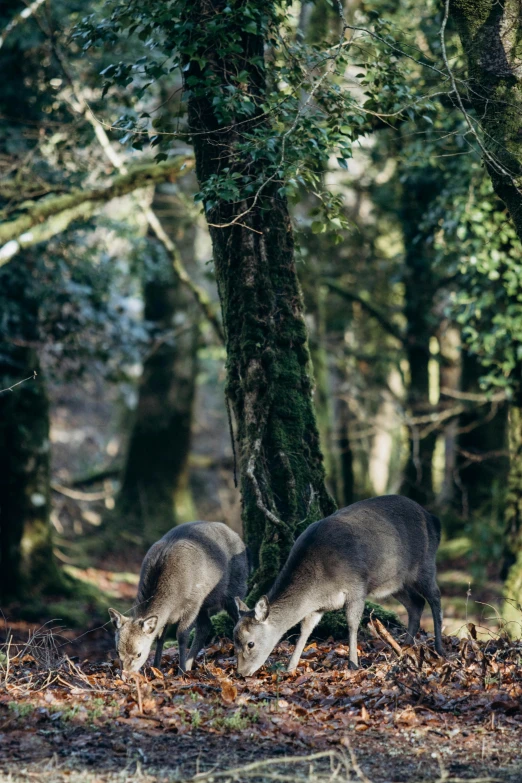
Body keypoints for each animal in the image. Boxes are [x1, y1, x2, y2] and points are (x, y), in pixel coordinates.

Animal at [107, 520, 246, 672]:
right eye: (117, 651)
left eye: (139, 654)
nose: (124, 674)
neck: (172, 600)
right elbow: (160, 636)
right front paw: (156, 667)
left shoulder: (192, 602)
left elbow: (182, 635)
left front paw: (181, 670)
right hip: (204, 604)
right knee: (205, 626)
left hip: (236, 587)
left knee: (239, 617)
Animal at [234, 500, 440, 676]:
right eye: (234, 641)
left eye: (250, 643)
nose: (241, 673)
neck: (320, 582)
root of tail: (433, 519)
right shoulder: (317, 607)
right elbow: (305, 630)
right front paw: (290, 667)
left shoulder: (357, 586)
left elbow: (352, 624)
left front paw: (353, 664)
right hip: (395, 582)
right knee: (417, 603)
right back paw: (404, 649)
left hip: (425, 563)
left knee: (435, 598)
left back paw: (439, 649)